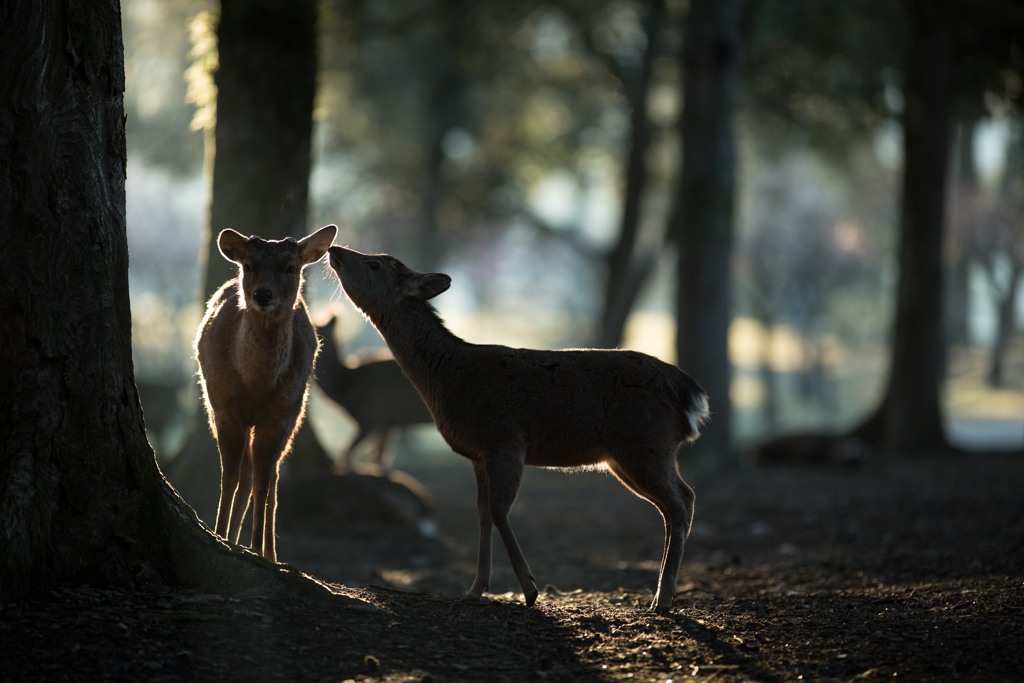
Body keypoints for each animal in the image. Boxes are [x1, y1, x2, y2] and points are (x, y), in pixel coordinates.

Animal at [198, 222, 339, 565]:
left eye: (290, 267)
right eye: (249, 266)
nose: (263, 295)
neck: (256, 385)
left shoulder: (279, 417)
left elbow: (264, 482)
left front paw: (257, 548)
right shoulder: (224, 410)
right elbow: (229, 476)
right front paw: (220, 535)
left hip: (295, 413)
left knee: (270, 476)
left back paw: (269, 552)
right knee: (247, 472)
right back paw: (233, 537)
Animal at [329, 246, 712, 614]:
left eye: (376, 264)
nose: (335, 250)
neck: (448, 379)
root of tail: (691, 392)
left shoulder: (505, 440)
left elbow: (499, 509)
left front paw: (529, 590)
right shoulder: (478, 455)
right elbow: (482, 512)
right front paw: (474, 590)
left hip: (644, 443)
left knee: (680, 502)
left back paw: (663, 599)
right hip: (633, 454)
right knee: (681, 500)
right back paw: (664, 592)